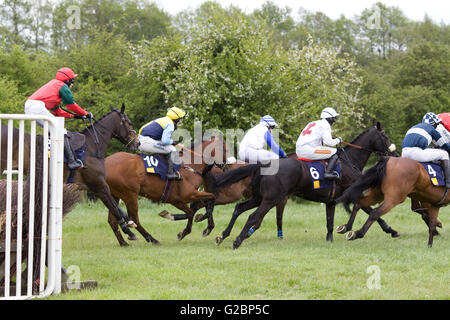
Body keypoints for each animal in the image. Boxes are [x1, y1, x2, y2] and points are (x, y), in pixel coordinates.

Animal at [209, 122, 400, 250]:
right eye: (385, 137)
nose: (395, 154)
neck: (349, 162)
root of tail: (265, 164)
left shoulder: (331, 201)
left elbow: (330, 223)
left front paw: (331, 239)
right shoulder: (353, 193)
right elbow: (372, 211)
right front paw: (390, 230)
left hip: (259, 197)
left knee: (239, 208)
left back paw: (222, 235)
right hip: (271, 199)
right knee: (253, 217)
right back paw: (237, 240)